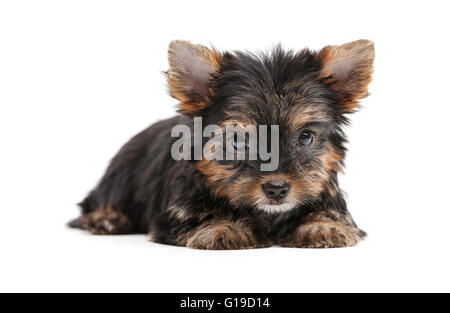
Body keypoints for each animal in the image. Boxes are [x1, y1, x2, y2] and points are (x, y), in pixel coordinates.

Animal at [69, 39, 372, 249]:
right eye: (237, 140)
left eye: (305, 137)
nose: (276, 189)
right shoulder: (178, 210)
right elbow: (198, 214)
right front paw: (223, 227)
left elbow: (331, 212)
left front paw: (323, 227)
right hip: (121, 176)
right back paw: (107, 219)